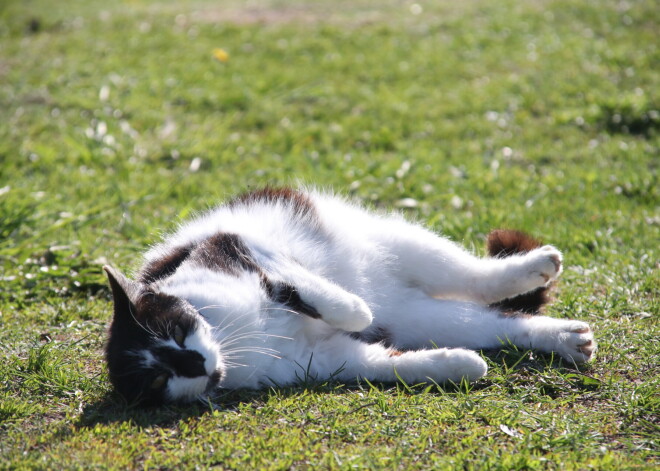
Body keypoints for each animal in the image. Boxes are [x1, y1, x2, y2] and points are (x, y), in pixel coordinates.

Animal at [104, 187, 600, 406]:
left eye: (176, 329)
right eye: (157, 380)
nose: (196, 365)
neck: (232, 338)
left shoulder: (235, 245)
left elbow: (315, 294)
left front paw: (354, 311)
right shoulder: (322, 359)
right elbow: (388, 364)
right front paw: (458, 366)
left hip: (402, 244)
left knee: (476, 277)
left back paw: (534, 266)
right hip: (419, 317)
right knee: (495, 325)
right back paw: (564, 338)